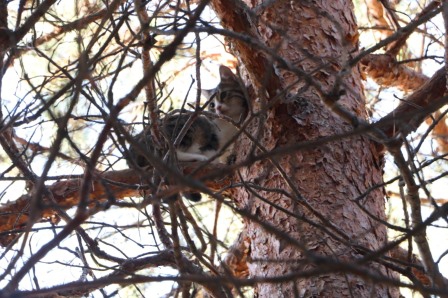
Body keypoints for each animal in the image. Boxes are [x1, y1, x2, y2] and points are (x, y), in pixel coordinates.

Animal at [128, 64, 248, 200]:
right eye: (211, 105)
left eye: (223, 94)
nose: (217, 108)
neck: (231, 123)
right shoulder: (210, 131)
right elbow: (213, 147)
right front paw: (213, 158)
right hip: (186, 126)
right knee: (171, 153)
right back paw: (199, 158)